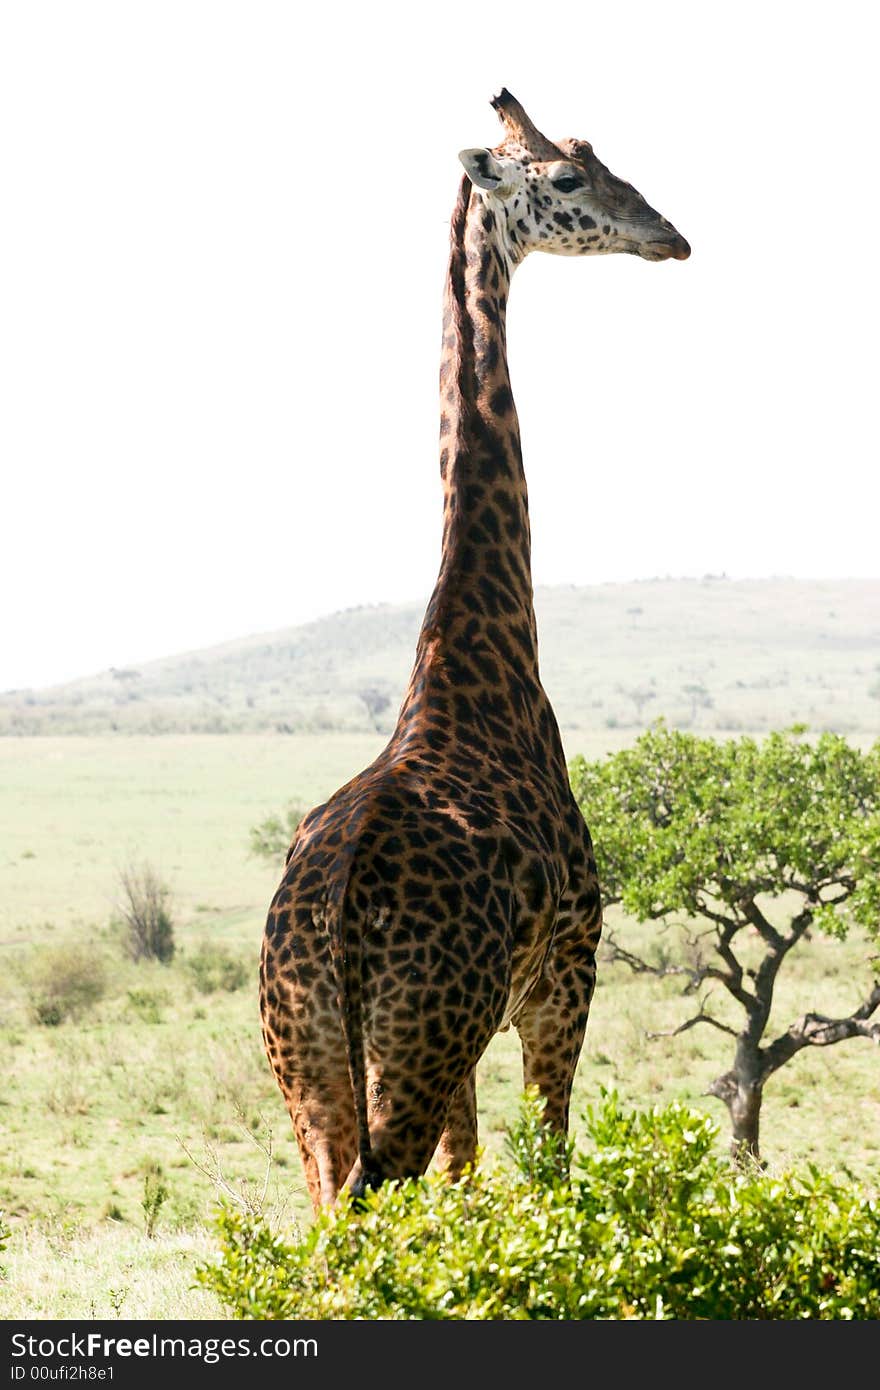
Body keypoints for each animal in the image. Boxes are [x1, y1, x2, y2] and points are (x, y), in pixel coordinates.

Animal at [258, 92, 686, 1212]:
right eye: (569, 178)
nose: (668, 234)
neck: (481, 645)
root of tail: (332, 917)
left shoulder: (476, 1037)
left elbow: (469, 1178)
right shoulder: (566, 970)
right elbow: (546, 1167)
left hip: (314, 1067)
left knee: (333, 1214)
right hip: (417, 1043)